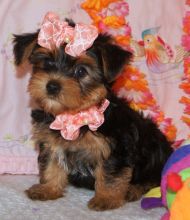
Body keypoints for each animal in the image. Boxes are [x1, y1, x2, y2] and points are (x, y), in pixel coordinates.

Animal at [12, 12, 173, 211]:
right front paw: (47, 189)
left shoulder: (116, 147)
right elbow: (51, 164)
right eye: (47, 62)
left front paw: (106, 198)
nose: (52, 86)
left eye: (81, 71)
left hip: (154, 148)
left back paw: (133, 189)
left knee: (154, 179)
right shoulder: (50, 141)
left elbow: (110, 173)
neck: (74, 115)